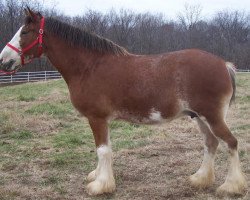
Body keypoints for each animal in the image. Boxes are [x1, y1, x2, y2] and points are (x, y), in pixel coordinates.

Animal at [0, 8, 246, 196]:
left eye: (25, 31)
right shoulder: (101, 120)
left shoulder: (97, 118)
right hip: (199, 118)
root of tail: (224, 64)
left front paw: (100, 186)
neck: (89, 67)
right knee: (211, 143)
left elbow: (102, 150)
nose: (3, 60)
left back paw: (230, 186)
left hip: (211, 117)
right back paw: (200, 179)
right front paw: (99, 176)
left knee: (231, 143)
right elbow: (104, 149)